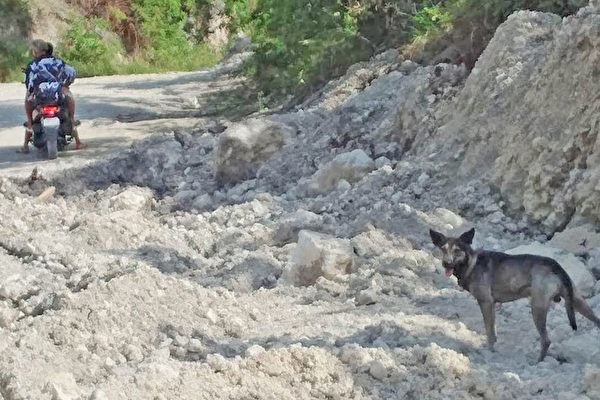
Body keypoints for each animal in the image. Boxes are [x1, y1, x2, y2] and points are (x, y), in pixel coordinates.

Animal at [429, 227, 600, 362]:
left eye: (457, 250)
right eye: (443, 249)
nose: (446, 263)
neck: (471, 263)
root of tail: (555, 266)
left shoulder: (485, 302)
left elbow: (489, 331)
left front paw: (489, 351)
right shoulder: (491, 305)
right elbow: (493, 331)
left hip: (537, 308)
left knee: (546, 340)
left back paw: (537, 362)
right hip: (578, 301)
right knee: (597, 321)